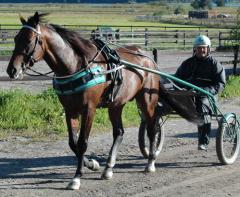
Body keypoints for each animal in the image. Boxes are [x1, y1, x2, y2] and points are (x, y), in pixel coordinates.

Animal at [6, 11, 201, 189]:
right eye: (16, 38)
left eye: (29, 40)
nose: (12, 70)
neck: (75, 66)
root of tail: (148, 59)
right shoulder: (69, 109)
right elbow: (73, 143)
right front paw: (92, 164)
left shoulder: (89, 108)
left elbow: (82, 143)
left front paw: (76, 178)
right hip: (116, 104)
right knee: (119, 132)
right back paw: (108, 168)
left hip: (147, 98)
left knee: (152, 127)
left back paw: (150, 162)